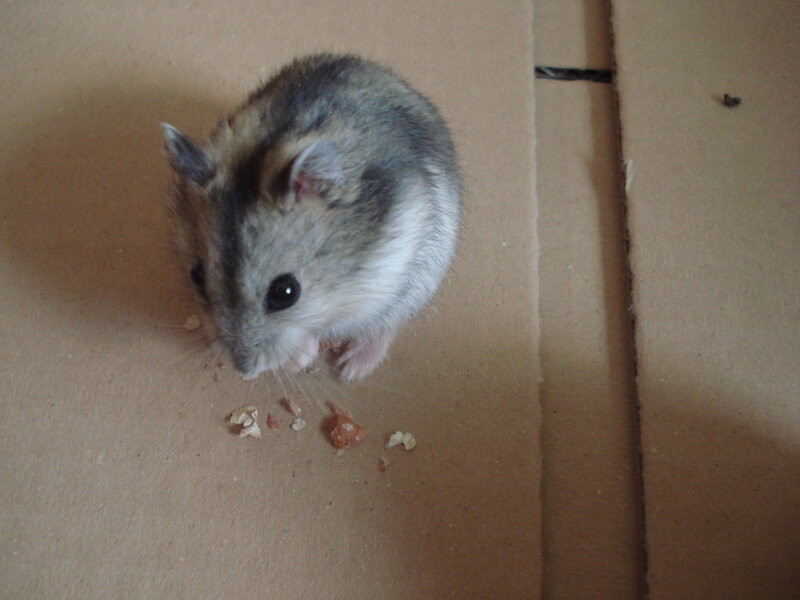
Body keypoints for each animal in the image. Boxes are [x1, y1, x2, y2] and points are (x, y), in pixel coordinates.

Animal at [162, 53, 461, 381]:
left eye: (286, 292)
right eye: (197, 275)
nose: (244, 371)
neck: (341, 277)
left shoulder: (388, 277)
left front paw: (337, 370)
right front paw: (299, 360)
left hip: (425, 276)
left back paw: (353, 368)